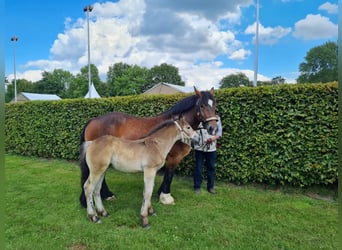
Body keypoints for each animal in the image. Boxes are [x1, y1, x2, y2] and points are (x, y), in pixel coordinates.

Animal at [79, 87, 216, 207]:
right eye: (202, 105)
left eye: (214, 105)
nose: (212, 128)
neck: (176, 128)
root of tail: (93, 120)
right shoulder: (174, 158)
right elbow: (169, 175)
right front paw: (166, 197)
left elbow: (167, 176)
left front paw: (160, 193)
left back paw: (106, 195)